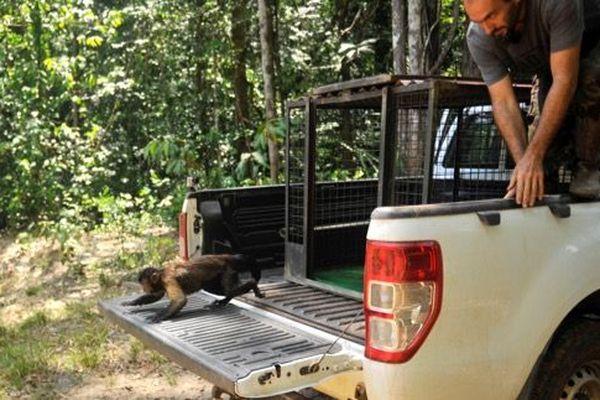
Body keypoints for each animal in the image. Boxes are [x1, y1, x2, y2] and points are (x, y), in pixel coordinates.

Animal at [121, 255, 262, 324]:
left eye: (144, 284)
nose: (144, 289)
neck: (161, 275)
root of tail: (225, 257)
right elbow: (156, 296)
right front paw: (131, 303)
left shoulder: (168, 279)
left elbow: (180, 300)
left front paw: (159, 316)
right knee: (216, 289)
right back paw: (225, 300)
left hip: (228, 270)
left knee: (229, 290)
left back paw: (253, 285)